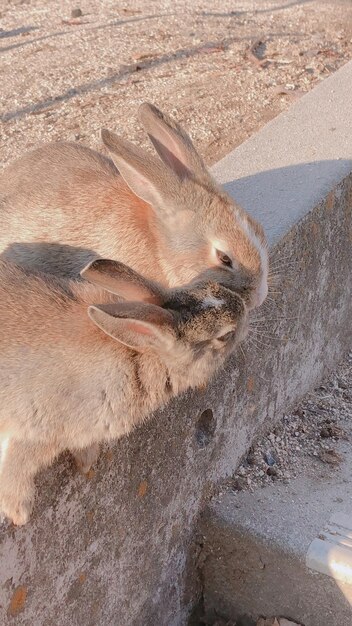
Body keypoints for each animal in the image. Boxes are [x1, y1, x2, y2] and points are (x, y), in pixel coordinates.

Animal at [0, 256, 248, 524]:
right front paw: (18, 511)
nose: (246, 310)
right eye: (225, 336)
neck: (137, 356)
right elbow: (19, 463)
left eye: (213, 286)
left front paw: (87, 462)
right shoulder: (38, 430)